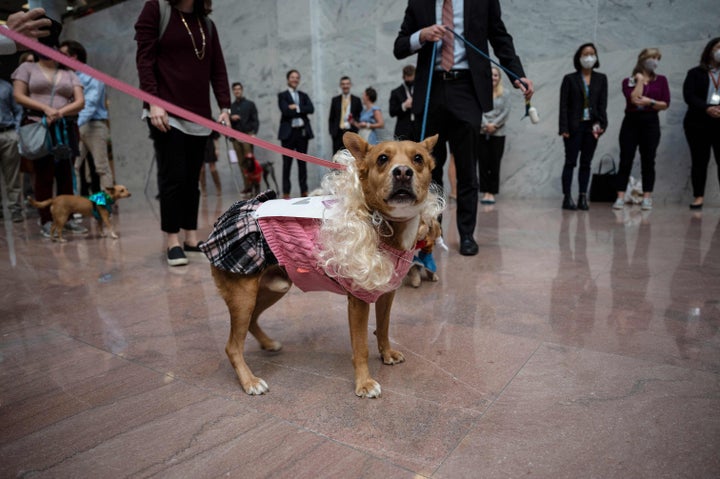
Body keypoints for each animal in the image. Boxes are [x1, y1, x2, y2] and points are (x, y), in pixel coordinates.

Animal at [200, 131, 442, 398]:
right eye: (382, 159)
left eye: (418, 159)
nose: (402, 172)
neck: (382, 222)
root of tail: (220, 223)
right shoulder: (358, 301)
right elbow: (361, 347)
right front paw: (364, 383)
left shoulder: (387, 293)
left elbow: (384, 327)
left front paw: (386, 353)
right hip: (243, 297)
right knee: (232, 346)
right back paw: (250, 381)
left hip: (271, 289)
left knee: (252, 321)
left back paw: (268, 344)